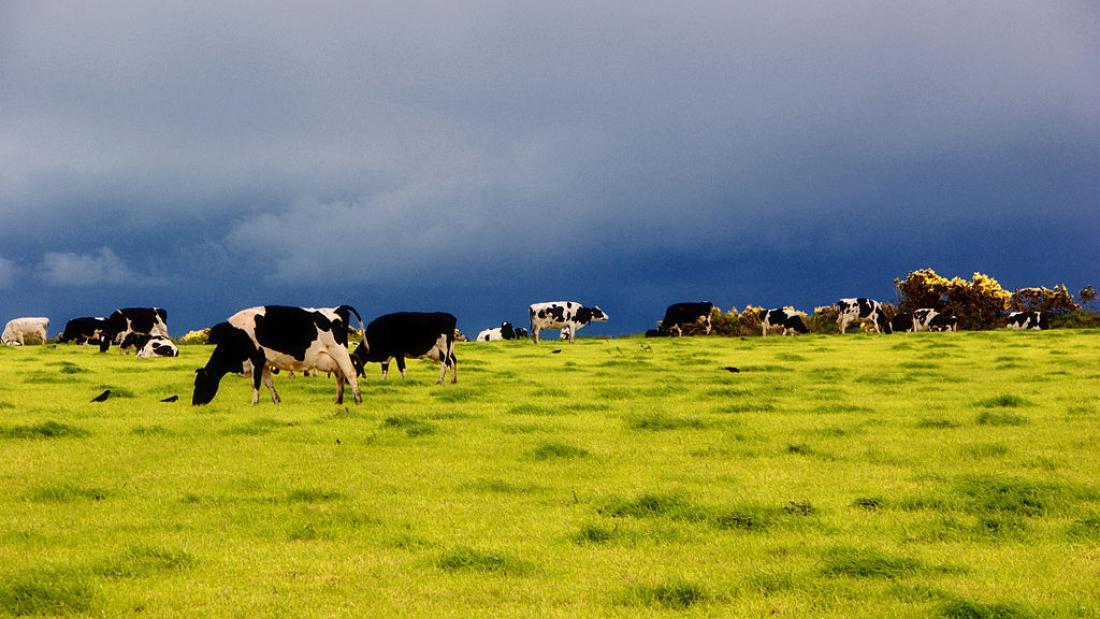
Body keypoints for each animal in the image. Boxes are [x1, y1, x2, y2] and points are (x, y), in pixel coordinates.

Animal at [190, 305, 360, 406]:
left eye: (199, 383)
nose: (195, 403)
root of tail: (336, 309)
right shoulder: (264, 363)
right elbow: (268, 383)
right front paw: (276, 400)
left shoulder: (256, 359)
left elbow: (255, 383)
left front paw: (254, 403)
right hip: (332, 358)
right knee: (340, 375)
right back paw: (338, 400)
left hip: (339, 351)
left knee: (350, 372)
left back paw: (357, 399)